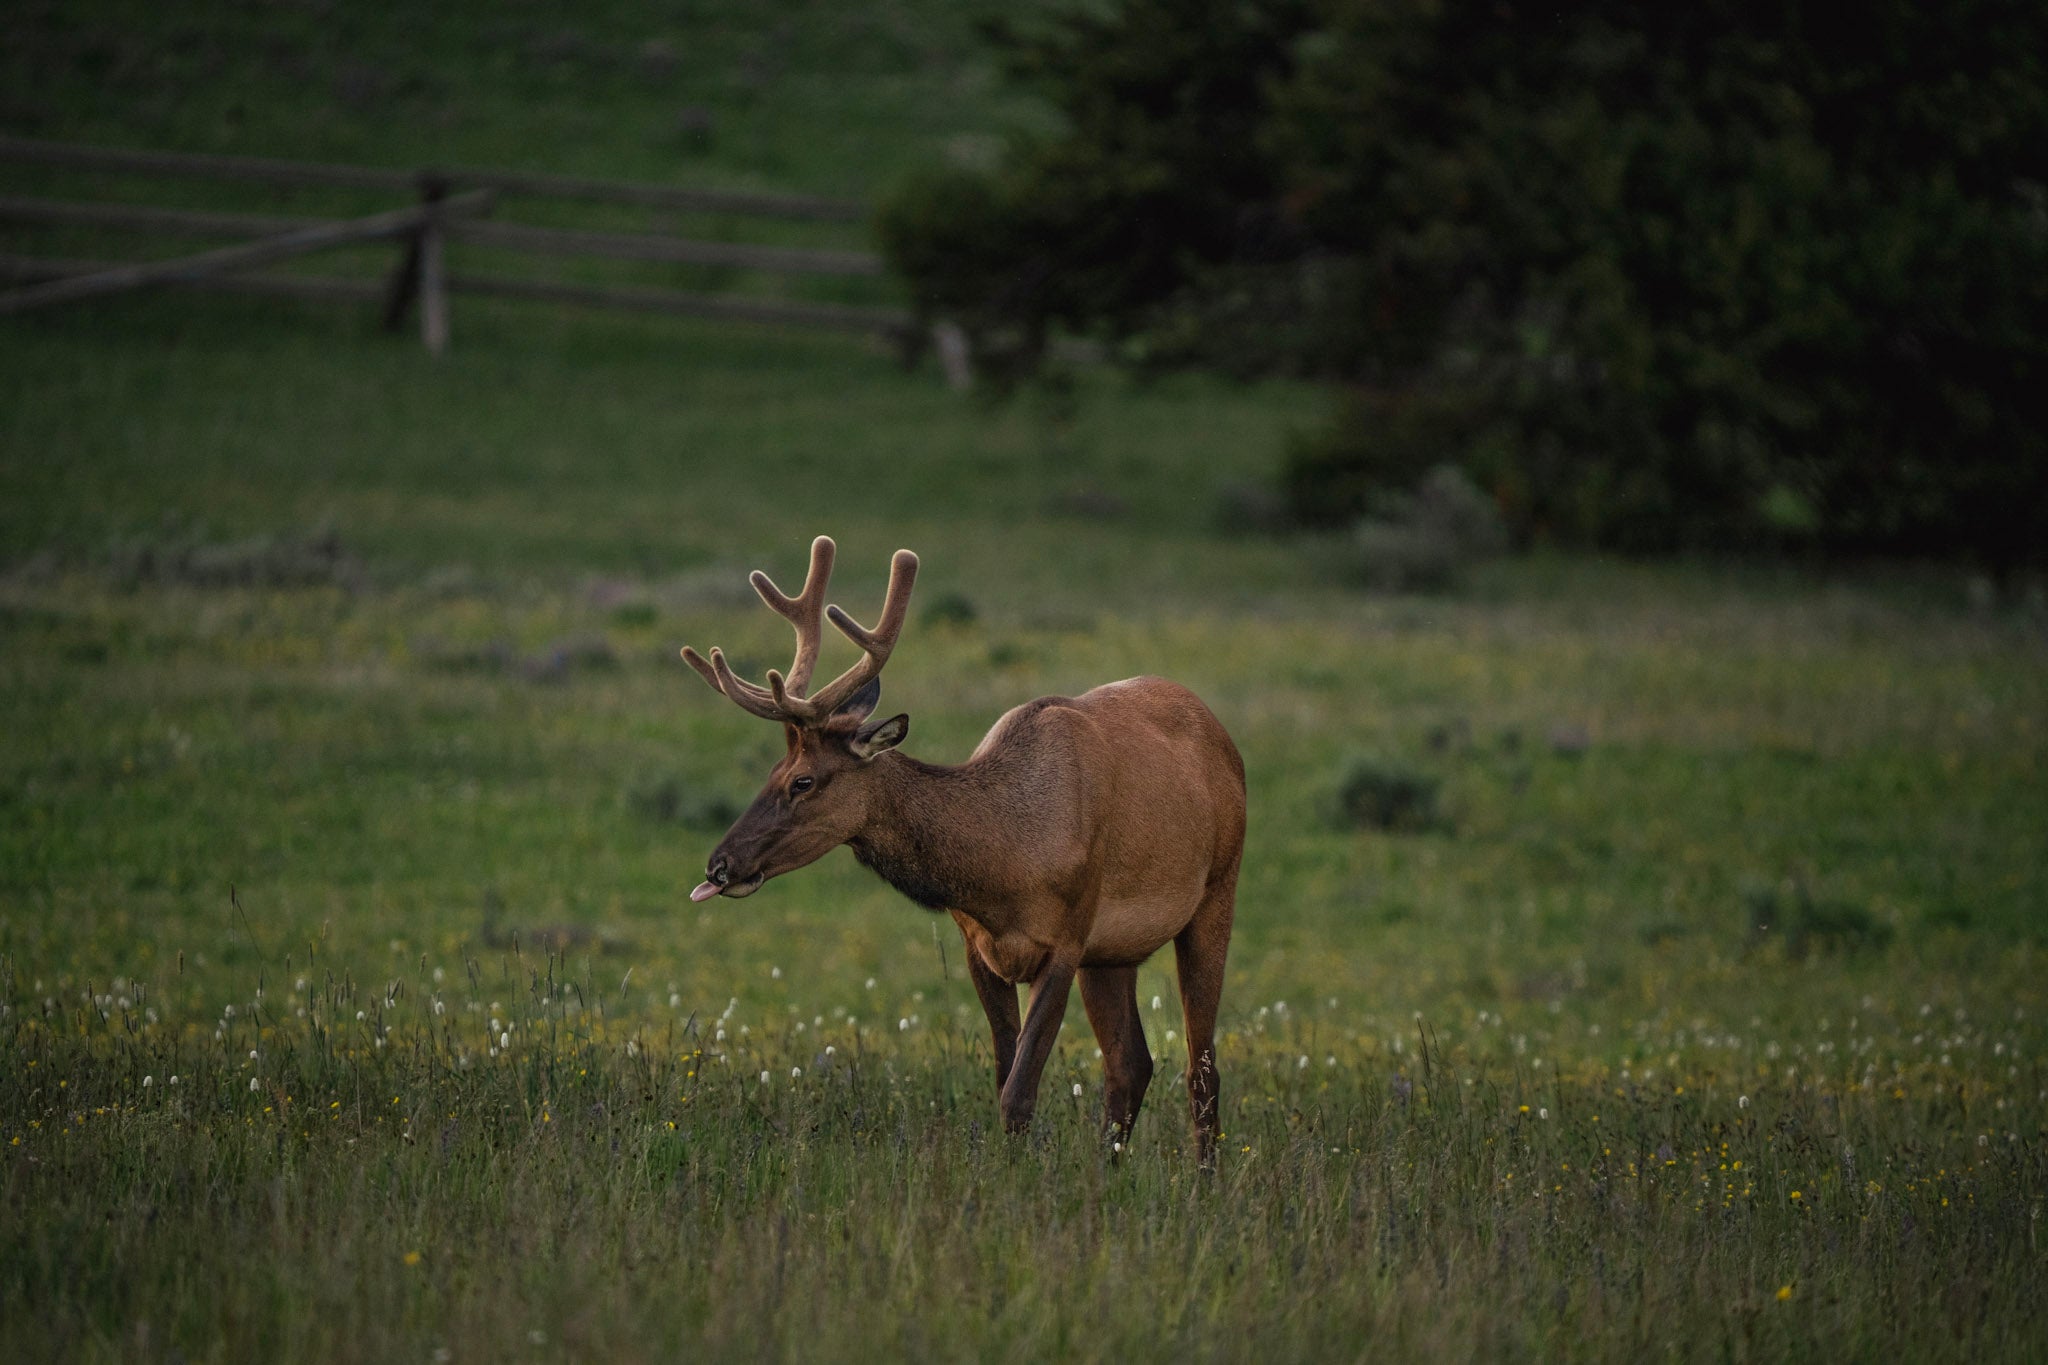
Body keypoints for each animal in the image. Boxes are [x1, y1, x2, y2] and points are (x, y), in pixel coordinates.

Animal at [680, 536, 1245, 1162]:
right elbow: (1006, 1082)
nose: (719, 864)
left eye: (803, 781)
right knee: (1131, 1065)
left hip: (1216, 892)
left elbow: (1018, 1094)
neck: (1002, 861)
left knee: (1201, 1069)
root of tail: (1223, 737)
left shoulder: (1067, 938)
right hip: (1113, 952)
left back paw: (1203, 1177)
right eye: (771, 771)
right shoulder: (981, 947)